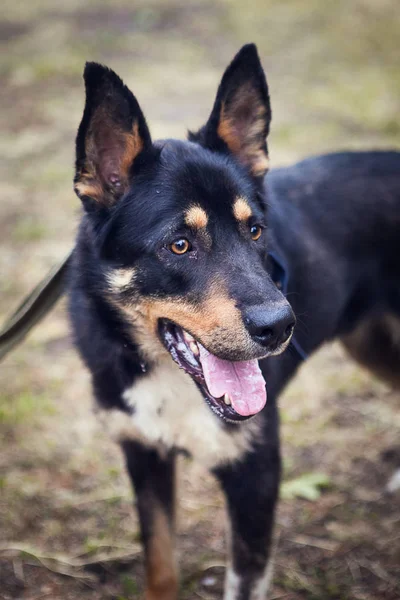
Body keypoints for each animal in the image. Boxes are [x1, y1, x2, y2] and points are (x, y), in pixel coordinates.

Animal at [69, 43, 400, 600]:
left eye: (255, 230)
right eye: (179, 244)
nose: (281, 327)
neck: (169, 379)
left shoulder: (256, 474)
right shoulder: (144, 455)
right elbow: (160, 565)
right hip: (372, 342)